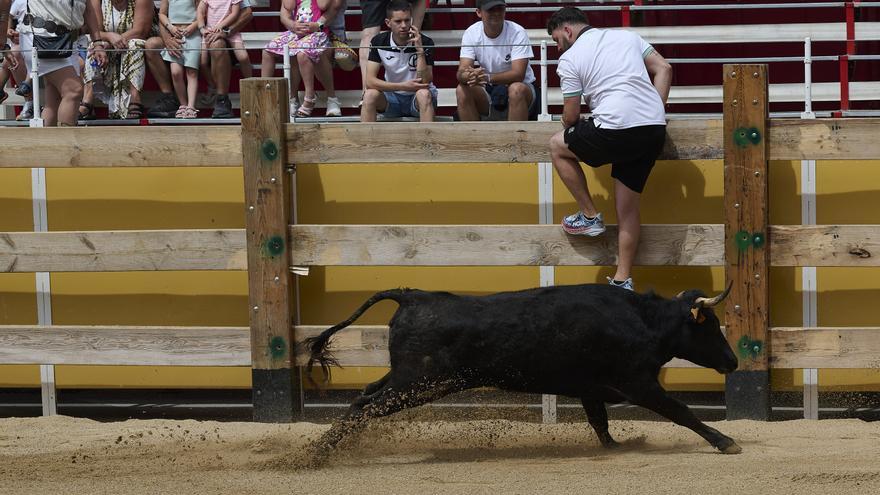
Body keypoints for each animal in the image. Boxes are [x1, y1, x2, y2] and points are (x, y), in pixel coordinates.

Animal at [304, 282, 740, 463]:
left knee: (364, 398)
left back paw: (323, 450)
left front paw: (615, 447)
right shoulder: (638, 384)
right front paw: (725, 441)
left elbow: (599, 422)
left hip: (407, 379)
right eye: (708, 325)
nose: (733, 362)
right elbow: (682, 412)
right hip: (418, 383)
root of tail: (412, 296)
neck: (643, 320)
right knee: (365, 405)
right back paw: (317, 455)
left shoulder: (591, 388)